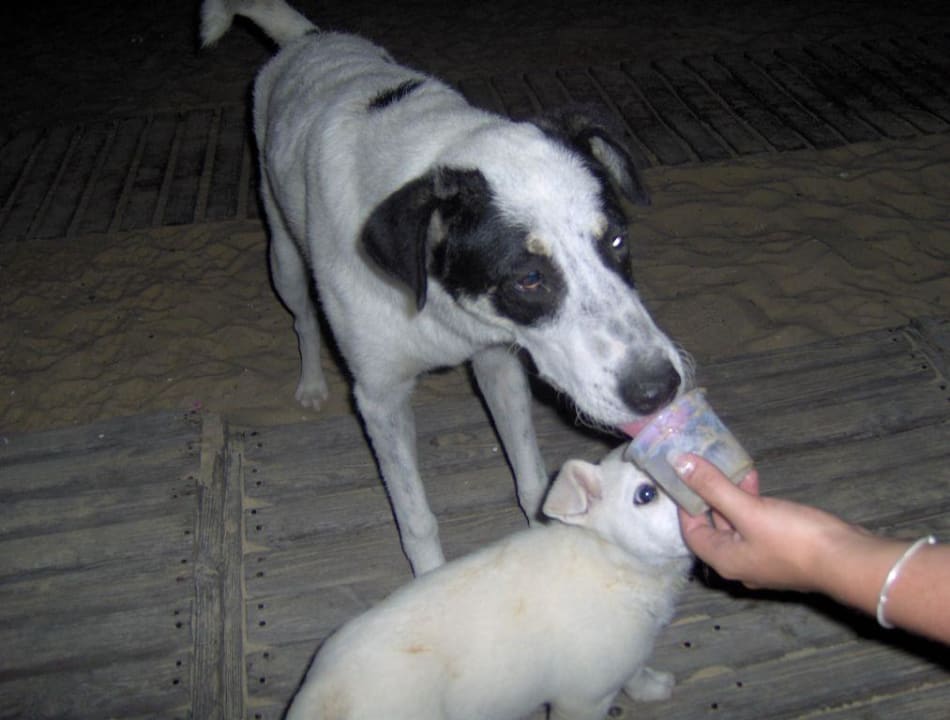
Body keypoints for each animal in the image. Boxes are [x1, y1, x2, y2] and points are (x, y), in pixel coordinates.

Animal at [201, 0, 688, 574]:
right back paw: (311, 384)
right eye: (528, 278)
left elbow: (531, 478)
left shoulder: (497, 360)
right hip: (283, 256)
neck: (435, 305)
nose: (660, 389)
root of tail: (308, 38)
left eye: (615, 240)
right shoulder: (380, 399)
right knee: (301, 318)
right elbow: (417, 521)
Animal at [285, 445, 692, 720]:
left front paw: (655, 687)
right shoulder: (583, 698)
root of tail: (319, 698)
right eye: (645, 494)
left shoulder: (625, 655)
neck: (613, 562)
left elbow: (636, 674)